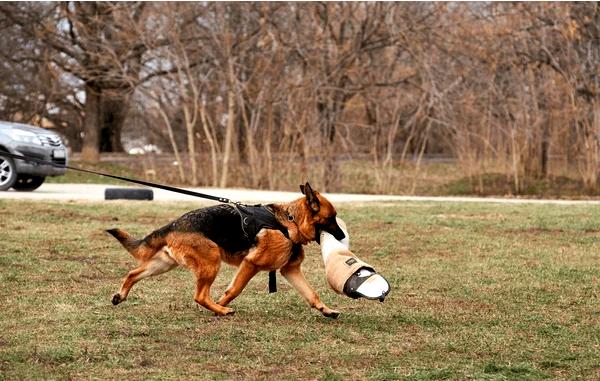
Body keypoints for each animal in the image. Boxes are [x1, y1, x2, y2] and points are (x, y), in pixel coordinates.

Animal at [105, 183, 344, 316]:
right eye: (331, 218)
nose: (342, 236)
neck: (289, 221)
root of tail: (173, 224)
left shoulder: (290, 270)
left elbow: (312, 294)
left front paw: (327, 310)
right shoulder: (251, 264)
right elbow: (234, 290)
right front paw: (221, 304)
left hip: (163, 264)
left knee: (133, 273)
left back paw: (120, 295)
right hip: (212, 260)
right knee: (200, 296)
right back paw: (220, 310)